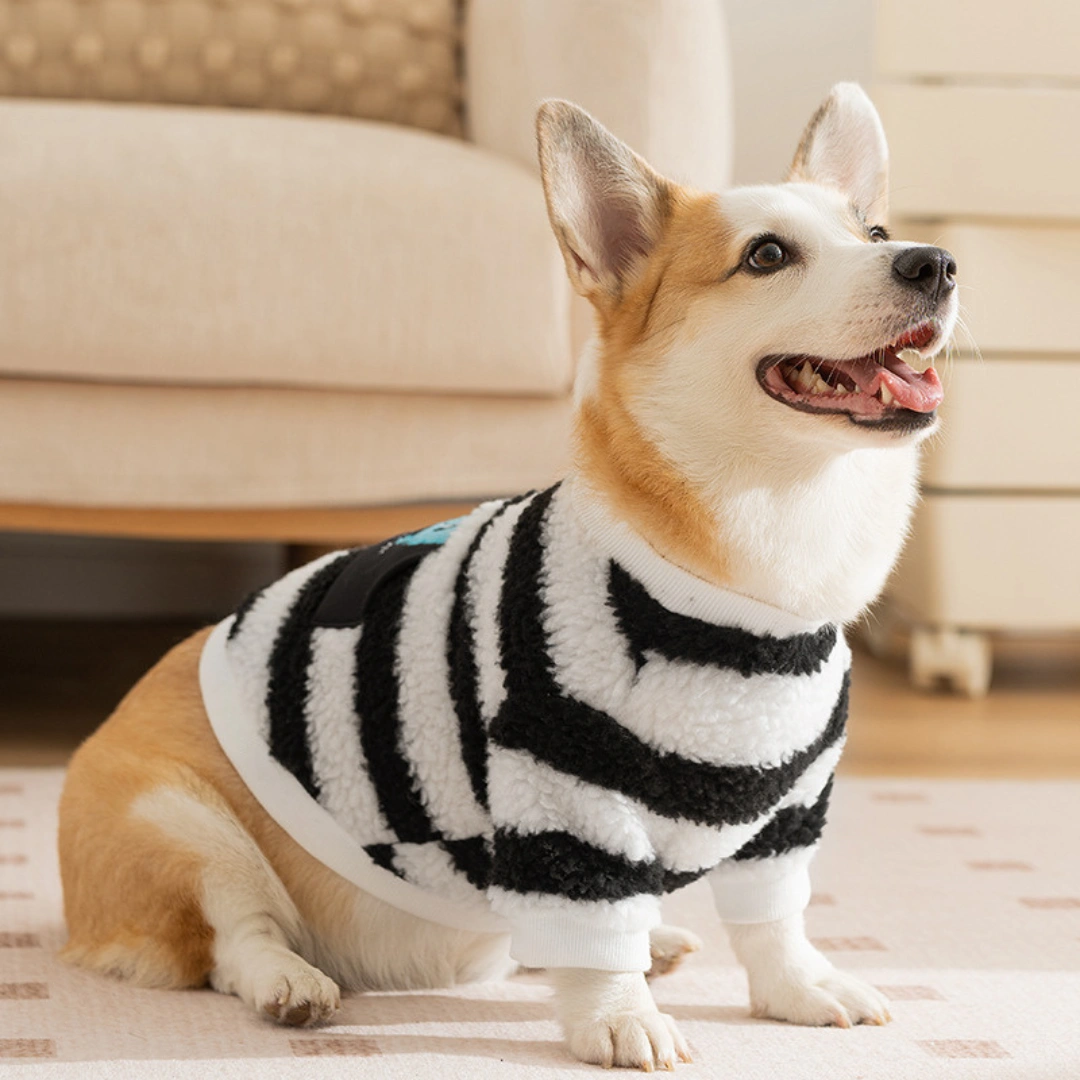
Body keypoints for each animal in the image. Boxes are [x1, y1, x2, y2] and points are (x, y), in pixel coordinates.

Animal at [57, 83, 957, 1070]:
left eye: (874, 232)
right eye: (767, 255)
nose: (936, 263)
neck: (755, 579)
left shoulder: (788, 814)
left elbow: (774, 921)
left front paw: (800, 989)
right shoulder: (565, 801)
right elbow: (593, 933)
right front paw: (622, 1019)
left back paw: (652, 940)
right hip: (180, 824)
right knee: (236, 936)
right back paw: (289, 983)